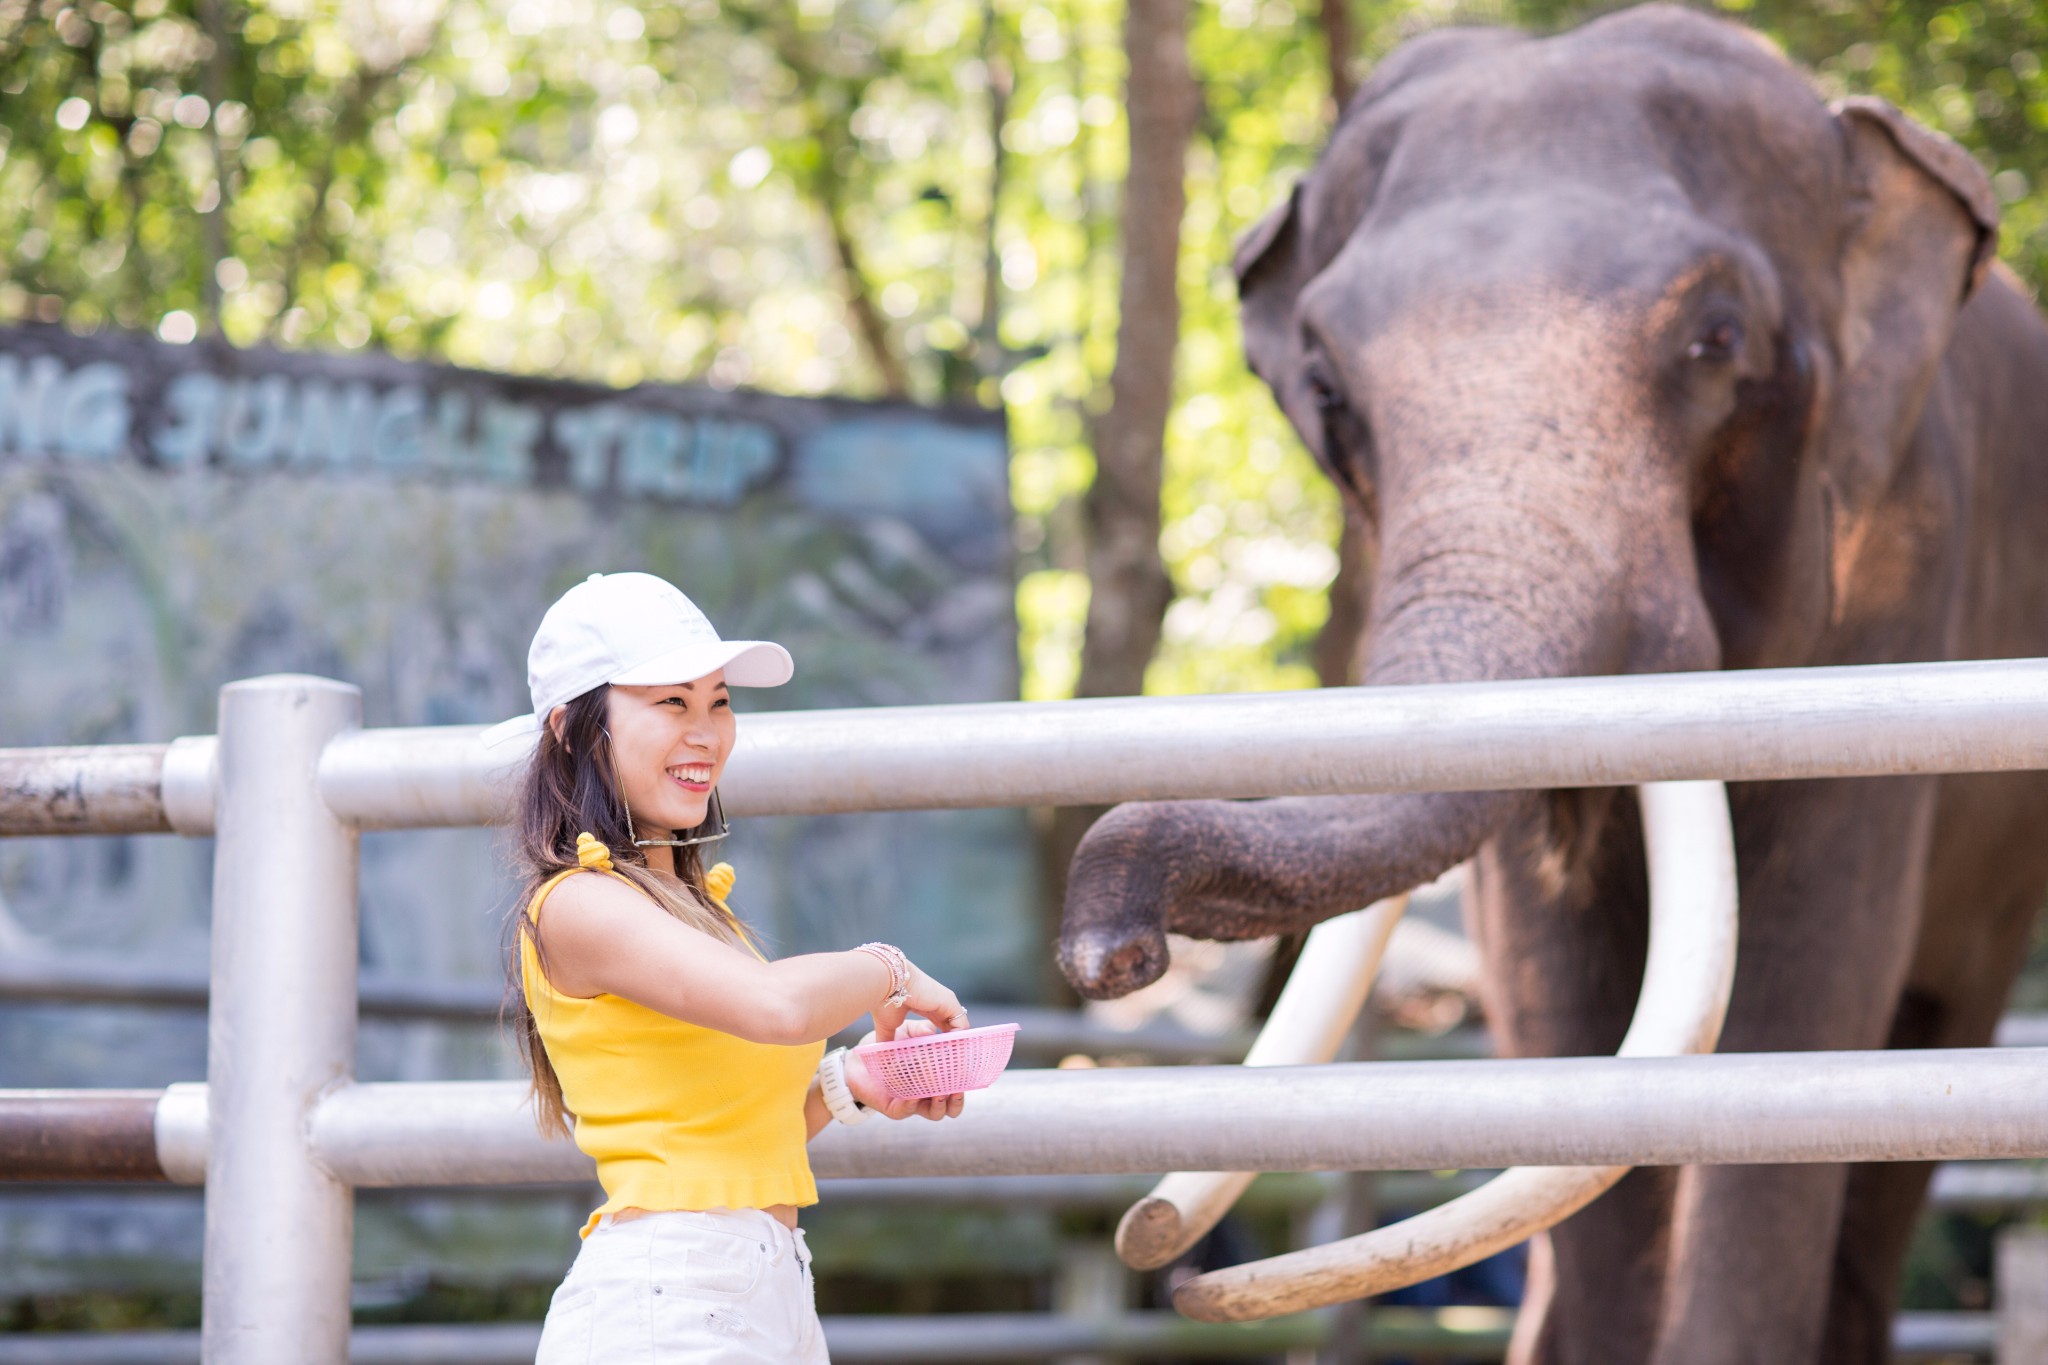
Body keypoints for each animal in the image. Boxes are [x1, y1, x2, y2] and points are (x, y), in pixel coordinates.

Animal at [1056, 5, 2048, 1358]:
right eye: (1325, 392)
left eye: (1713, 341)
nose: (1109, 952)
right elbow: (1551, 993)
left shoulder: (1906, 573)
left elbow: (1805, 993)